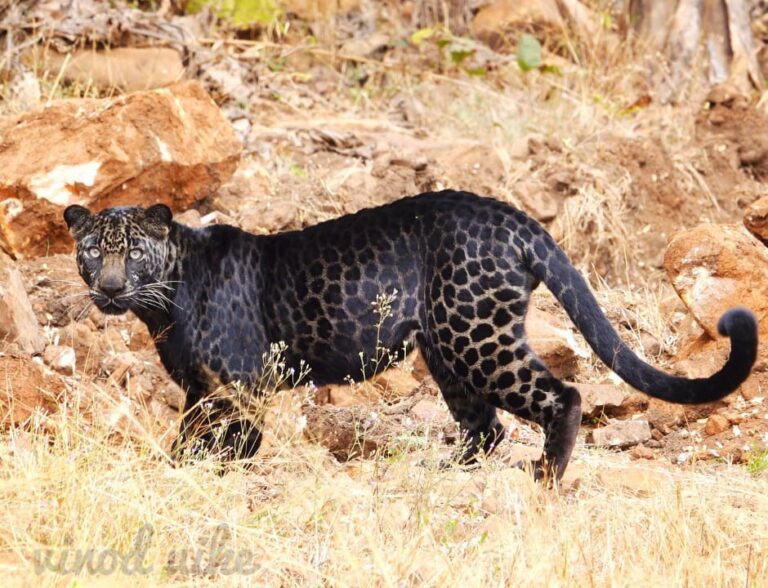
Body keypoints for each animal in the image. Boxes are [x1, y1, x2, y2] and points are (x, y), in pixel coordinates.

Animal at [63, 191, 760, 480]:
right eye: (94, 252)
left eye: (132, 252)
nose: (111, 288)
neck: (167, 298)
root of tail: (512, 217)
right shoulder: (202, 387)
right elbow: (196, 433)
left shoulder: (238, 381)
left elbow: (222, 438)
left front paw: (209, 470)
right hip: (447, 348)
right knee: (486, 426)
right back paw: (444, 469)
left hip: (476, 336)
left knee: (560, 396)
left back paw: (547, 476)